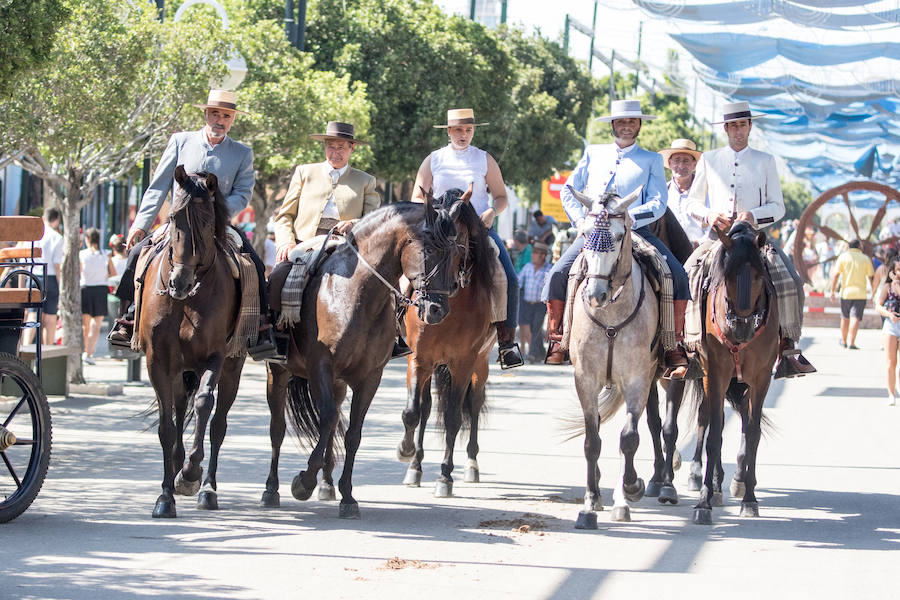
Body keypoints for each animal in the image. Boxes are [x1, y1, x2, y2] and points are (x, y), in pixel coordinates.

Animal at [137, 166, 244, 516]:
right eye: (172, 217)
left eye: (208, 222)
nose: (179, 282)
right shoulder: (157, 361)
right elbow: (167, 427)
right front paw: (165, 496)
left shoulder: (215, 357)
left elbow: (204, 405)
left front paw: (190, 474)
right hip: (179, 369)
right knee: (179, 408)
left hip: (232, 368)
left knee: (217, 424)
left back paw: (207, 488)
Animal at [262, 198, 464, 520]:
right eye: (430, 250)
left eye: (457, 254)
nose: (437, 310)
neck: (355, 295)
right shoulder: (321, 368)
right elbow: (327, 421)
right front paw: (302, 483)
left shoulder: (368, 378)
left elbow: (352, 434)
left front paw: (347, 495)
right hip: (278, 373)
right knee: (278, 429)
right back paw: (272, 489)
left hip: (338, 384)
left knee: (330, 424)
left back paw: (327, 485)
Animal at [396, 188, 496, 496]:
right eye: (424, 250)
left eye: (456, 246)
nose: (433, 309)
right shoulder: (419, 358)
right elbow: (413, 412)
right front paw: (408, 457)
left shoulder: (463, 363)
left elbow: (453, 417)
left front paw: (444, 477)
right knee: (427, 408)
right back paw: (416, 466)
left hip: (481, 363)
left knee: (473, 404)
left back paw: (472, 465)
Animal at [568, 185, 660, 528]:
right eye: (584, 233)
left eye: (620, 235)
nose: (596, 294)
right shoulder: (585, 378)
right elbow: (591, 440)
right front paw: (590, 501)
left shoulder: (637, 379)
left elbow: (629, 438)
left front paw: (630, 490)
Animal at [688, 221, 780, 524]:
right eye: (725, 275)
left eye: (759, 275)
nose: (741, 326)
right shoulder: (715, 374)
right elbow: (715, 434)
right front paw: (704, 501)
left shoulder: (761, 378)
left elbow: (752, 433)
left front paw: (750, 498)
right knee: (709, 418)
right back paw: (715, 485)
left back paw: (739, 480)